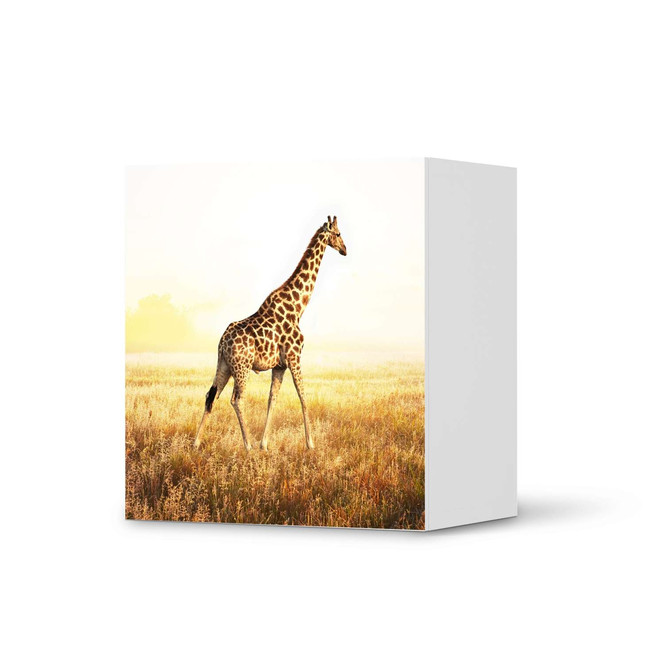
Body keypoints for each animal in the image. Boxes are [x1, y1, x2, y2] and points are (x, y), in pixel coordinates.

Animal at [193, 215, 347, 451]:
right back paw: (247, 445)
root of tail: (222, 342)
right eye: (338, 234)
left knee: (211, 395)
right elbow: (303, 396)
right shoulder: (294, 357)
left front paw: (264, 444)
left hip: (224, 365)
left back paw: (196, 442)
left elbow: (272, 399)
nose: (345, 250)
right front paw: (310, 444)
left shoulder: (280, 365)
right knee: (236, 399)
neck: (298, 307)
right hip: (242, 366)